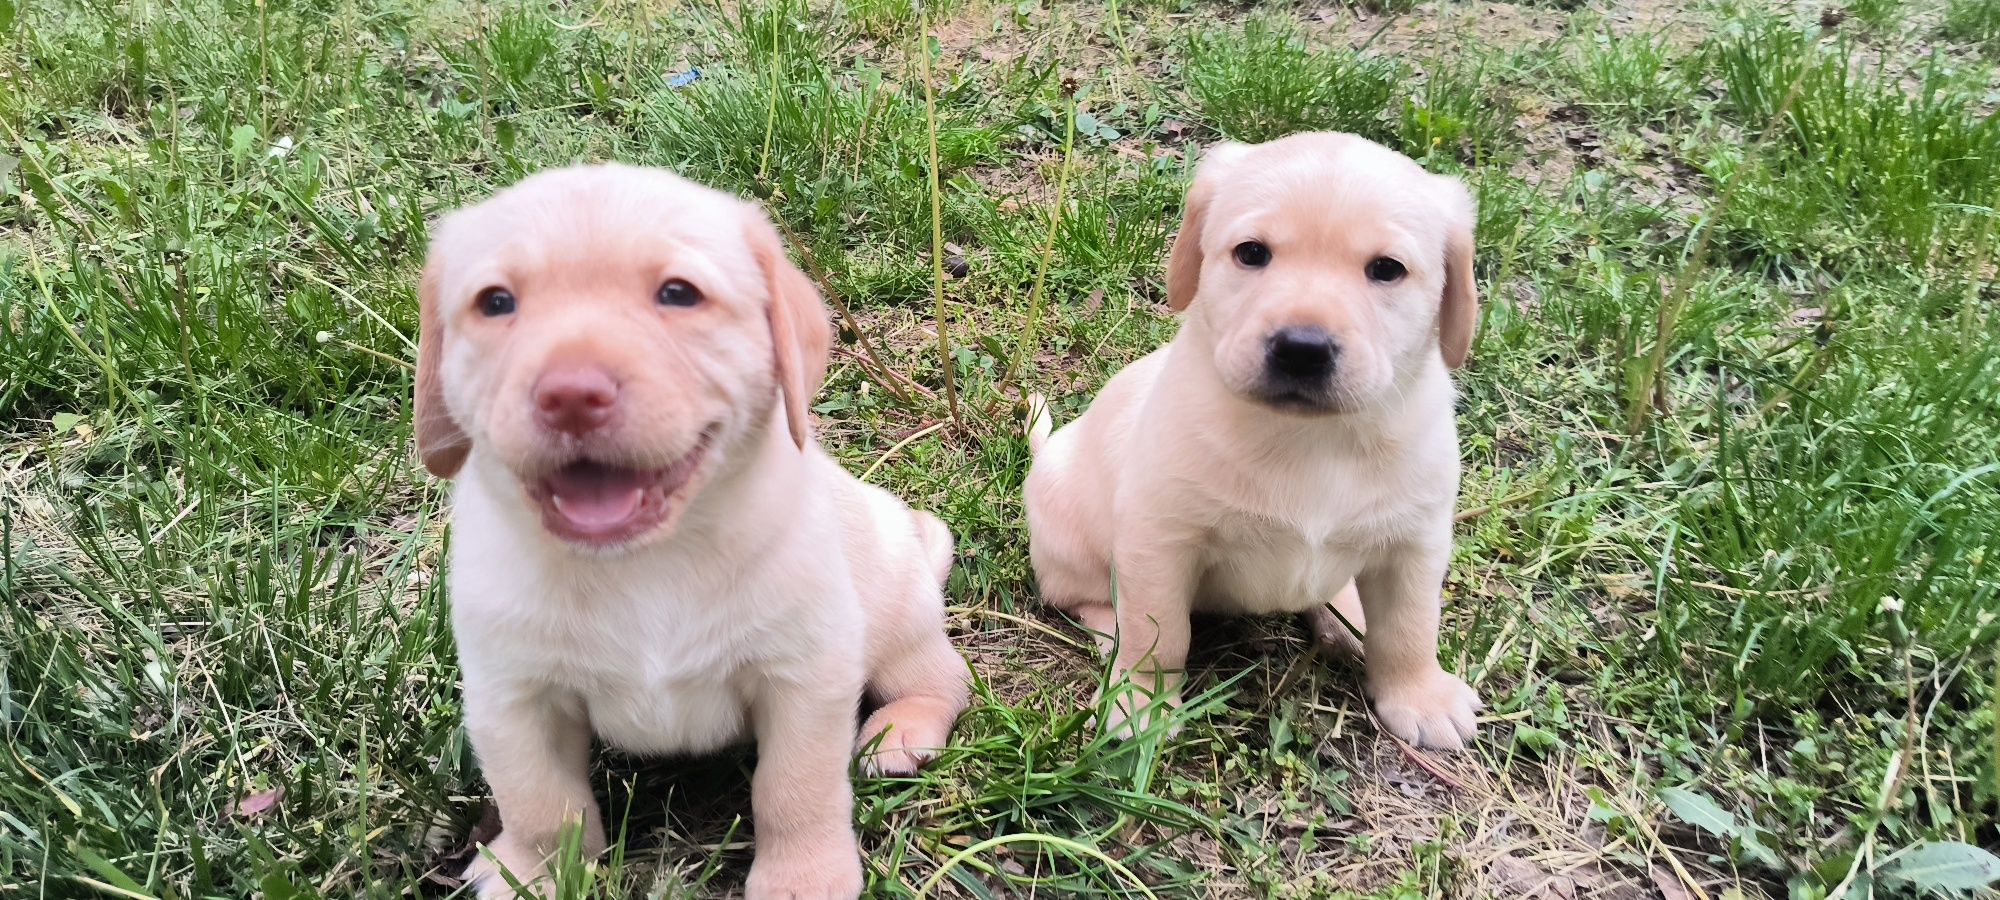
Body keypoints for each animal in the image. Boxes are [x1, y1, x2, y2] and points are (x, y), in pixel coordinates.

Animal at [414, 163, 968, 900]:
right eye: (496, 302)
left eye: (679, 294)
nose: (570, 394)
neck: (643, 562)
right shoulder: (513, 697)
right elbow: (539, 802)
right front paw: (531, 874)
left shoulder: (806, 674)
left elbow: (795, 790)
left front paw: (802, 879)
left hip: (899, 619)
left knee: (943, 679)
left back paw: (905, 727)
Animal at [1032, 132, 1488, 752]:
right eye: (1251, 253)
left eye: (1387, 269)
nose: (1302, 348)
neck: (1313, 439)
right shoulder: (1160, 539)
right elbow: (1159, 633)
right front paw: (1141, 702)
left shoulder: (1414, 544)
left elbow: (1411, 629)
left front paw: (1421, 694)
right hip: (1066, 537)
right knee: (1083, 594)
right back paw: (1109, 628)